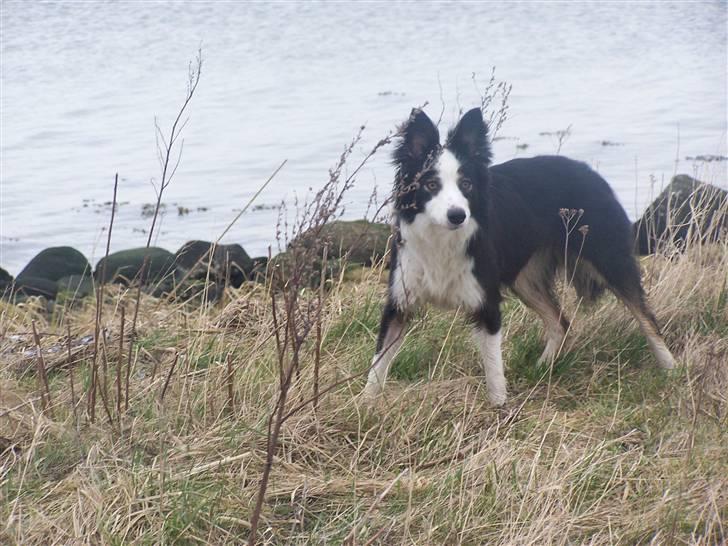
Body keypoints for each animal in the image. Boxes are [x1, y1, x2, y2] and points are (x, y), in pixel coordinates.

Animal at [364, 107, 676, 404]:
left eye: (466, 185)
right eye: (431, 185)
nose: (457, 215)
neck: (442, 238)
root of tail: (587, 170)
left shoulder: (487, 304)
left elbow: (493, 370)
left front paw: (499, 407)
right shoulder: (399, 302)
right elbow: (377, 364)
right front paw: (365, 404)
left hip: (609, 259)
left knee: (646, 318)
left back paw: (671, 368)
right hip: (526, 279)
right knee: (561, 323)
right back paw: (542, 368)